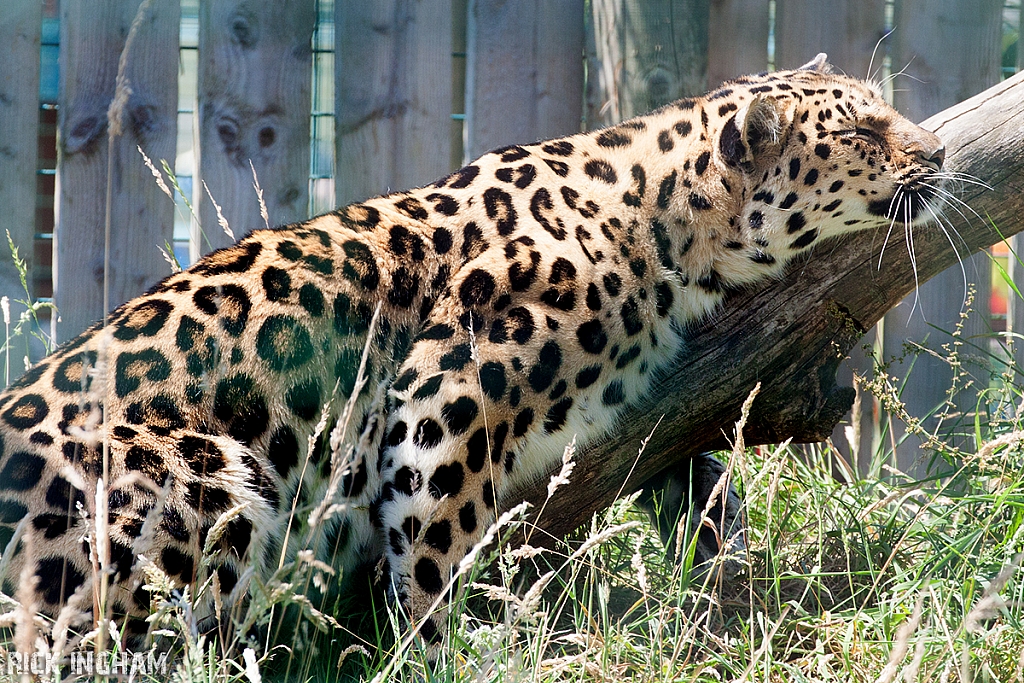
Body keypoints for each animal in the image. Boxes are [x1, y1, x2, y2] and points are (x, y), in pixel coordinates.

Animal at [0, 53, 942, 647]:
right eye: (864, 132)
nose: (936, 149)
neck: (664, 221)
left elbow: (702, 477)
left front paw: (727, 572)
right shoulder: (442, 398)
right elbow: (432, 549)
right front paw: (433, 650)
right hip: (208, 477)